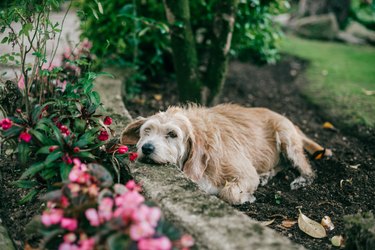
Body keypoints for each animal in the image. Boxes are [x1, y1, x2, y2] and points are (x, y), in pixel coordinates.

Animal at [121, 104, 332, 204]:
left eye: (172, 134)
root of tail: (289, 120)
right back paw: (266, 175)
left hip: (286, 137)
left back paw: (302, 179)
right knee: (281, 165)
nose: (146, 148)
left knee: (307, 169)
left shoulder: (245, 173)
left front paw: (247, 197)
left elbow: (228, 193)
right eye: (147, 131)